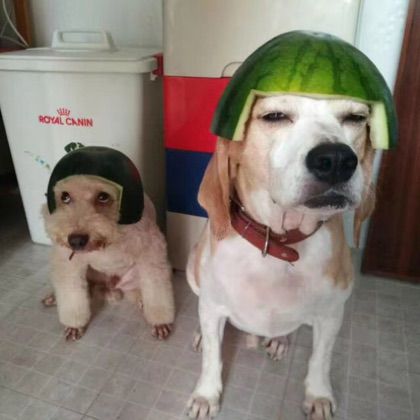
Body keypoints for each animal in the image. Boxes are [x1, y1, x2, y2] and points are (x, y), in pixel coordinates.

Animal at [43, 147, 175, 341]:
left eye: (103, 196)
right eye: (64, 196)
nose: (76, 241)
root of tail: (110, 287)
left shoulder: (152, 254)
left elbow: (157, 292)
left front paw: (160, 322)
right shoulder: (68, 263)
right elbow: (72, 297)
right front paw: (75, 325)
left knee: (138, 291)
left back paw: (142, 300)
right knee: (87, 289)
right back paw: (54, 297)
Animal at [186, 95, 375, 419]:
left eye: (356, 117)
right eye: (275, 116)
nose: (337, 160)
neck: (278, 242)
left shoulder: (331, 314)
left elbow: (320, 360)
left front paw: (318, 395)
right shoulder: (212, 304)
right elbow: (212, 356)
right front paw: (206, 395)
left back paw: (278, 339)